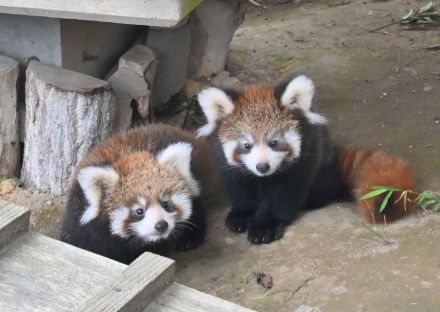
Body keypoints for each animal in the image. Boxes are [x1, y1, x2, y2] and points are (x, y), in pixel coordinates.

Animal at [196, 75, 416, 244]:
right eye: (247, 146)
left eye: (274, 143)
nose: (262, 166)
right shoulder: (225, 161)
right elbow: (240, 187)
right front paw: (242, 214)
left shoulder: (304, 158)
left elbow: (283, 194)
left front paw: (265, 226)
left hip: (322, 175)